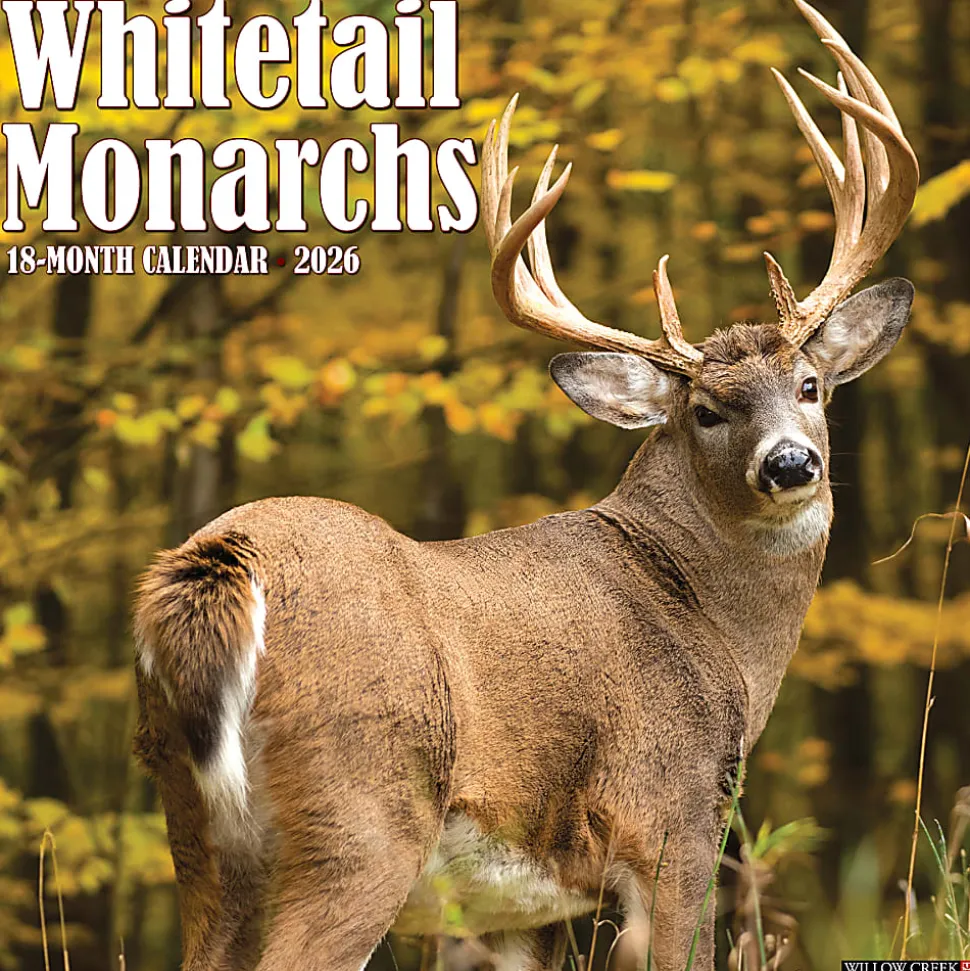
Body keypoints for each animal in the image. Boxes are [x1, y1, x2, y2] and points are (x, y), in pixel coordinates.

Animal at [132, 3, 919, 970]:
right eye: (706, 410)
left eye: (809, 385)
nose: (790, 463)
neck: (714, 624)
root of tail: (221, 563)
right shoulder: (676, 817)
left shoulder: (504, 911)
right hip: (362, 806)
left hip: (196, 830)